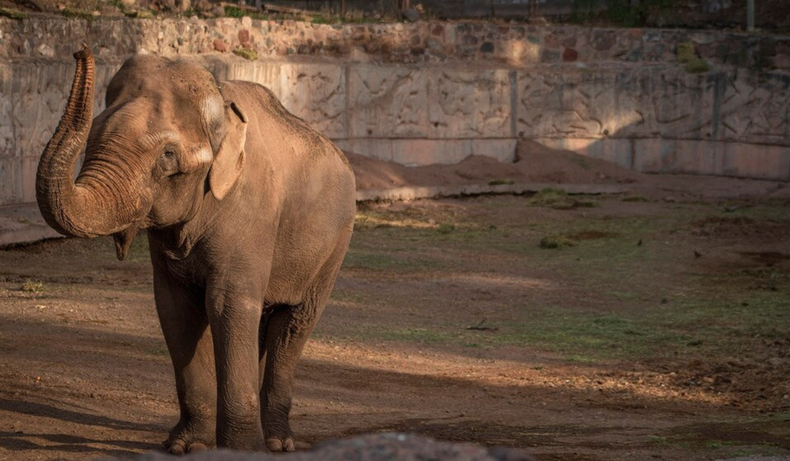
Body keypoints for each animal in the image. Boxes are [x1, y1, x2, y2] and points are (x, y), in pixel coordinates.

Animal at [36, 47, 356, 453]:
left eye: (168, 155)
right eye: (91, 137)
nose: (81, 51)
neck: (221, 102)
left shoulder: (251, 212)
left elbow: (227, 305)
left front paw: (240, 450)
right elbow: (177, 309)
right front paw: (186, 447)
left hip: (336, 244)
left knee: (293, 325)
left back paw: (278, 443)